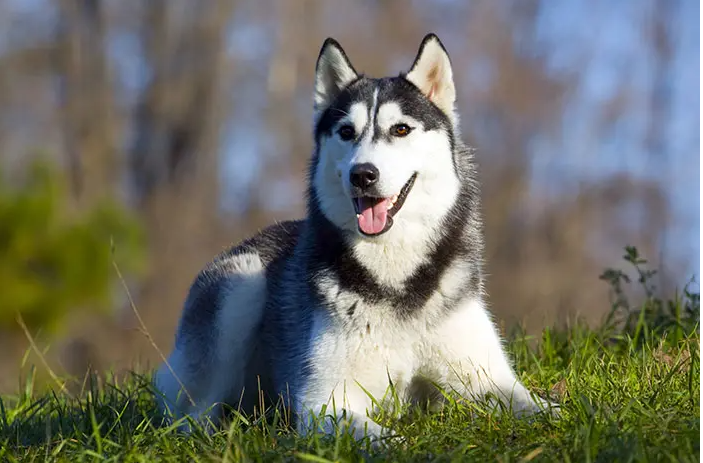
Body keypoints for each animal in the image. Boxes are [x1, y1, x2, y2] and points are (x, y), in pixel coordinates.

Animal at [155, 33, 556, 442]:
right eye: (346, 132)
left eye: (401, 129)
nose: (362, 174)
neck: (394, 277)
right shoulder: (324, 401)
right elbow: (388, 439)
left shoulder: (490, 380)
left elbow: (547, 409)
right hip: (240, 286)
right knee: (191, 415)